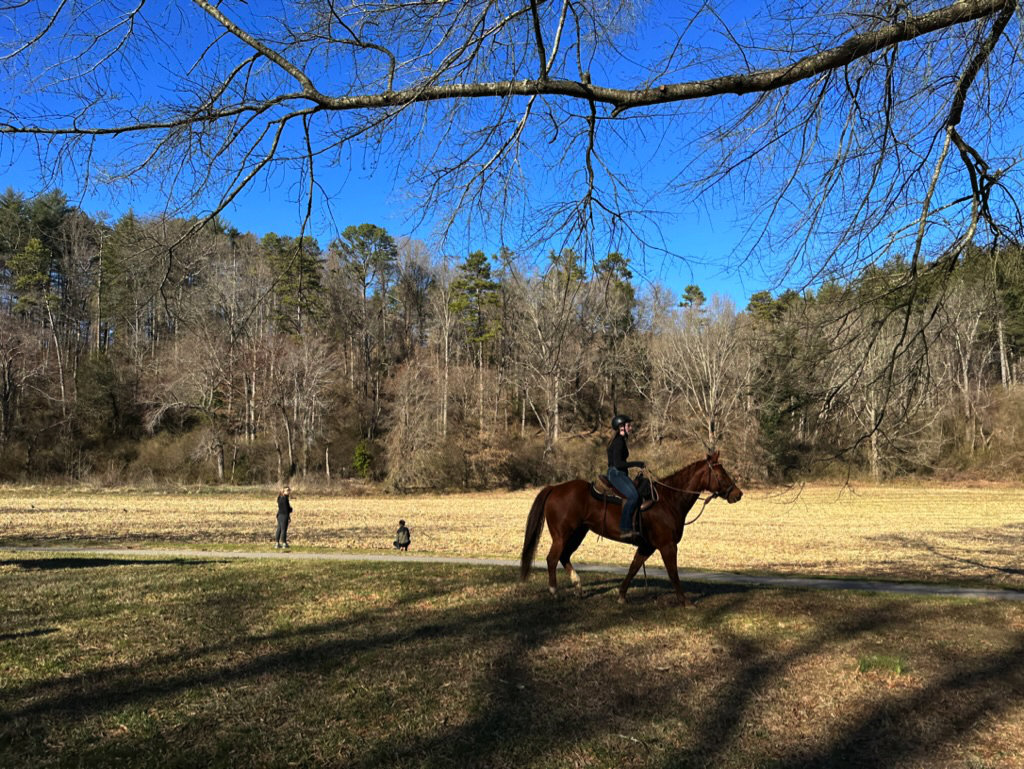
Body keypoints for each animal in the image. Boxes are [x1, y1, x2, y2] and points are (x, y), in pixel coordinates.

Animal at [520, 450, 745, 606]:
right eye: (721, 474)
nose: (738, 494)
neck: (669, 500)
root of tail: (554, 488)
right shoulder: (667, 545)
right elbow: (673, 572)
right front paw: (684, 601)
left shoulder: (647, 546)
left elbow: (634, 567)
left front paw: (621, 596)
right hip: (562, 535)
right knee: (552, 558)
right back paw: (554, 591)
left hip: (578, 533)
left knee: (564, 556)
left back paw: (578, 587)